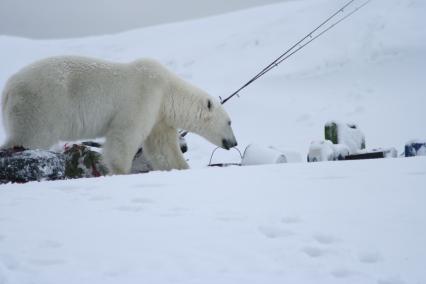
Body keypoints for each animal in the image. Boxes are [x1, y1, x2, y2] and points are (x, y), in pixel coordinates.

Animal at [1, 56, 238, 173]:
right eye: (229, 122)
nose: (234, 142)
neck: (167, 90)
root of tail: (9, 87)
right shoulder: (143, 96)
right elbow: (125, 135)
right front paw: (120, 171)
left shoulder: (159, 114)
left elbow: (162, 147)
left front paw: (181, 168)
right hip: (42, 105)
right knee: (30, 136)